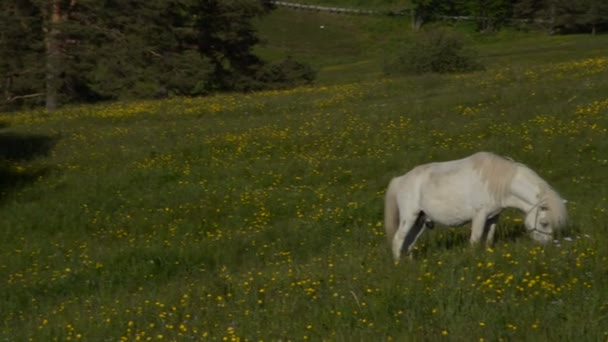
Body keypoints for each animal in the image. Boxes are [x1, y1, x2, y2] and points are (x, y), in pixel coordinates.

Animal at [388, 151, 568, 260]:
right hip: (409, 217)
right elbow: (475, 240)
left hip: (419, 222)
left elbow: (488, 239)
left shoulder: (493, 217)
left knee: (409, 243)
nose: (548, 248)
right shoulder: (479, 216)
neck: (497, 183)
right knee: (398, 239)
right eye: (544, 223)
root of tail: (400, 180)